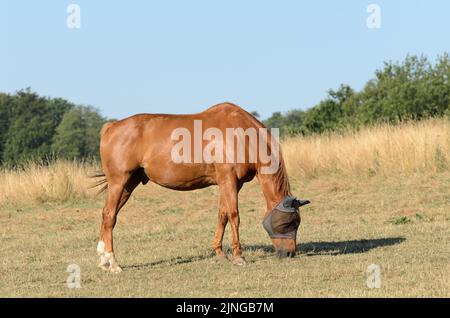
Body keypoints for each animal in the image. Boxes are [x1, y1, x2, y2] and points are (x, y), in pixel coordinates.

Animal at [91, 102, 310, 274]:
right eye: (289, 223)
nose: (289, 253)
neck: (242, 135)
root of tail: (111, 127)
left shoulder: (230, 184)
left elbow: (222, 215)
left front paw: (220, 254)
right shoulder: (228, 180)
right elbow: (234, 215)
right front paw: (239, 257)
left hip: (129, 184)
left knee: (106, 214)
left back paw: (103, 260)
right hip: (119, 182)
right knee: (109, 216)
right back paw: (113, 263)